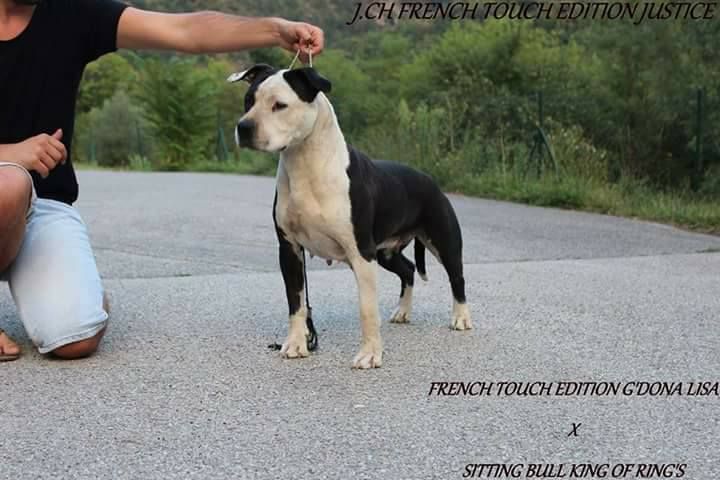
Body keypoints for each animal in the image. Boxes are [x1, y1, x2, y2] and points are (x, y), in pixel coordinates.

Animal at [228, 64, 471, 369]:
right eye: (248, 100)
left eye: (280, 105)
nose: (244, 127)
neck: (305, 163)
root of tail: (429, 179)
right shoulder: (290, 250)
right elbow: (296, 303)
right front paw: (296, 344)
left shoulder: (361, 253)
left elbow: (367, 310)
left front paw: (370, 355)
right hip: (385, 252)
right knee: (408, 269)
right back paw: (402, 312)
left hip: (442, 239)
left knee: (457, 277)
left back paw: (461, 318)